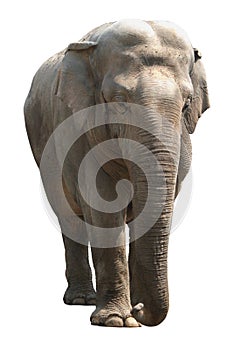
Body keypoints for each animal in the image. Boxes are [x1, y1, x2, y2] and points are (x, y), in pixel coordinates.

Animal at [24, 18, 210, 326]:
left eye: (187, 103)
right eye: (120, 101)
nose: (141, 309)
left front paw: (133, 310)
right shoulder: (80, 131)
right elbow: (104, 206)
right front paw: (116, 321)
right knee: (69, 217)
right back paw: (81, 300)